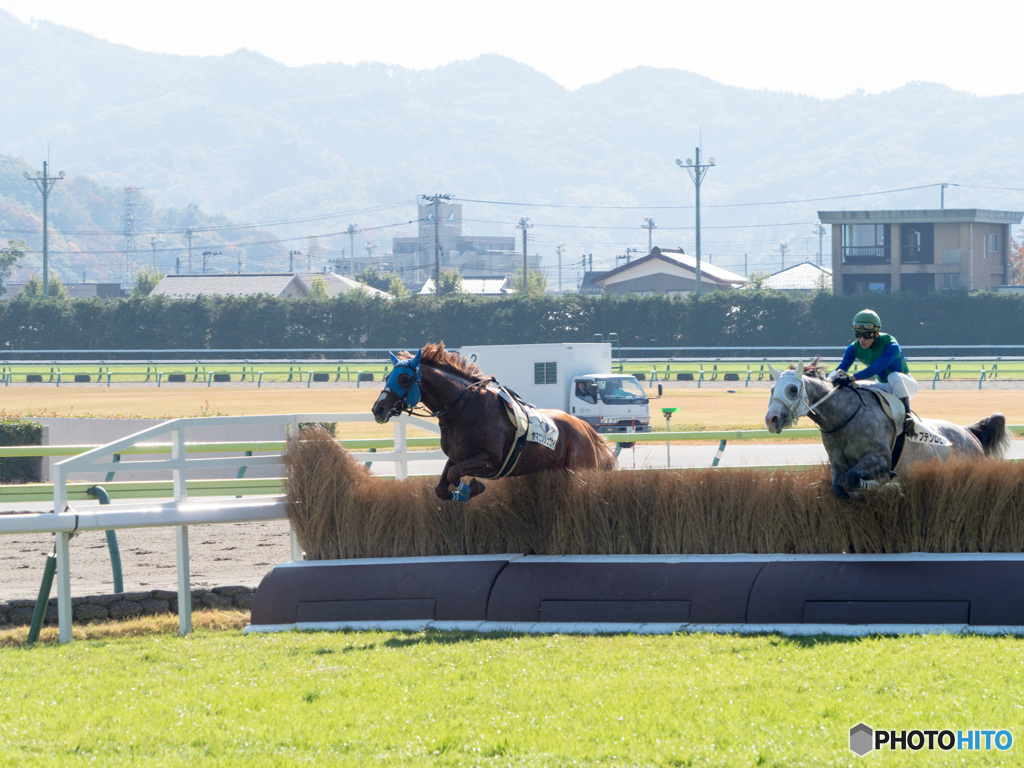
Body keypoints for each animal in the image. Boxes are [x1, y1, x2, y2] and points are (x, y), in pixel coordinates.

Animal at [374, 344, 614, 501]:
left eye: (404, 379)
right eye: (387, 378)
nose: (378, 409)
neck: (462, 410)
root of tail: (585, 428)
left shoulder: (490, 459)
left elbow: (454, 475)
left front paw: (471, 488)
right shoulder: (456, 457)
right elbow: (442, 486)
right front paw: (463, 491)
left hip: (580, 469)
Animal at [761, 360, 1007, 499]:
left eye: (792, 389)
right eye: (772, 389)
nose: (771, 419)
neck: (844, 417)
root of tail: (970, 433)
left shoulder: (879, 458)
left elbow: (855, 478)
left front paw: (876, 484)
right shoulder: (838, 463)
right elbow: (839, 488)